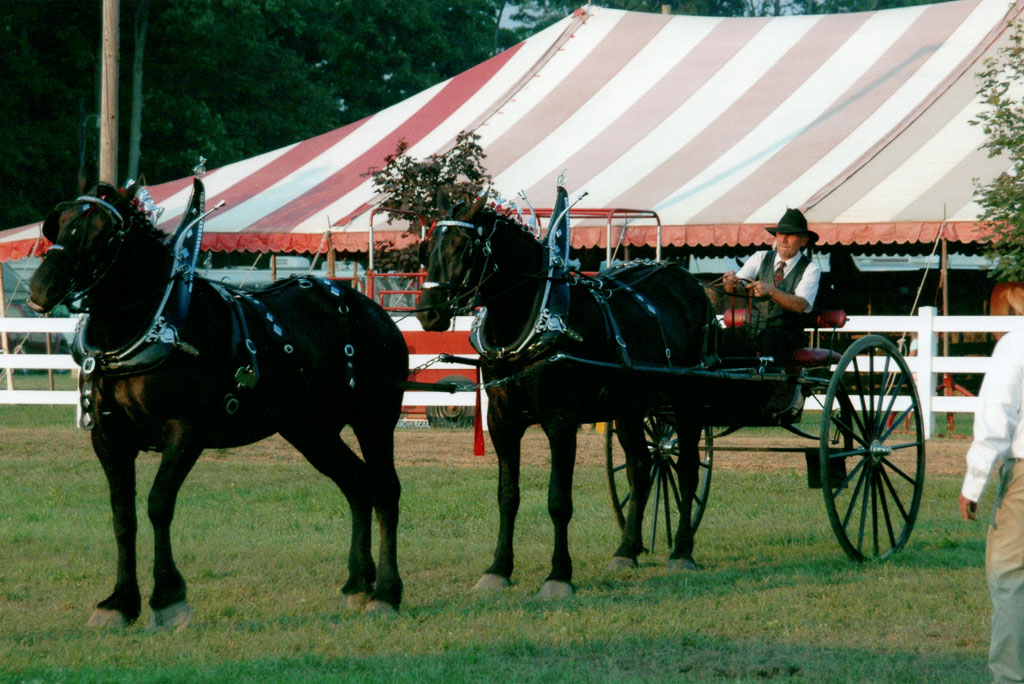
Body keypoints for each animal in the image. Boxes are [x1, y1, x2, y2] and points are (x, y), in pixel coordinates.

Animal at [25, 179, 407, 626]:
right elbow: (122, 515)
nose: (39, 290)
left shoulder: (185, 430)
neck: (155, 323)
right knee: (357, 485)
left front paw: (168, 597)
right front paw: (119, 601)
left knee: (385, 489)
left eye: (104, 234)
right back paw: (357, 583)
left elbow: (158, 504)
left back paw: (386, 593)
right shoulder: (108, 436)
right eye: (59, 222)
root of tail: (373, 309)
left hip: (374, 418)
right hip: (309, 430)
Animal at [413, 193, 712, 597]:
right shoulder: (502, 422)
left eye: (464, 247)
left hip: (687, 399)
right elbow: (507, 496)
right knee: (640, 467)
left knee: (688, 470)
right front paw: (498, 569)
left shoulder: (561, 421)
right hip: (629, 407)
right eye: (428, 246)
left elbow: (558, 500)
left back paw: (681, 551)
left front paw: (558, 575)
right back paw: (627, 550)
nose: (428, 314)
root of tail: (685, 278)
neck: (533, 319)